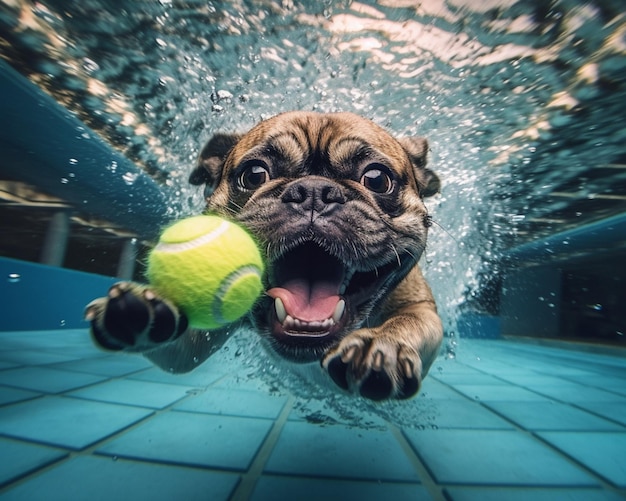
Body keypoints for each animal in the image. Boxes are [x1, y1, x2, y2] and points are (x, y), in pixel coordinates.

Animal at [85, 111, 442, 400]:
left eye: (377, 179)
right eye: (255, 174)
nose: (313, 190)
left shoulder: (421, 309)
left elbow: (409, 322)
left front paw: (383, 347)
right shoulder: (194, 346)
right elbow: (178, 352)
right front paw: (146, 311)